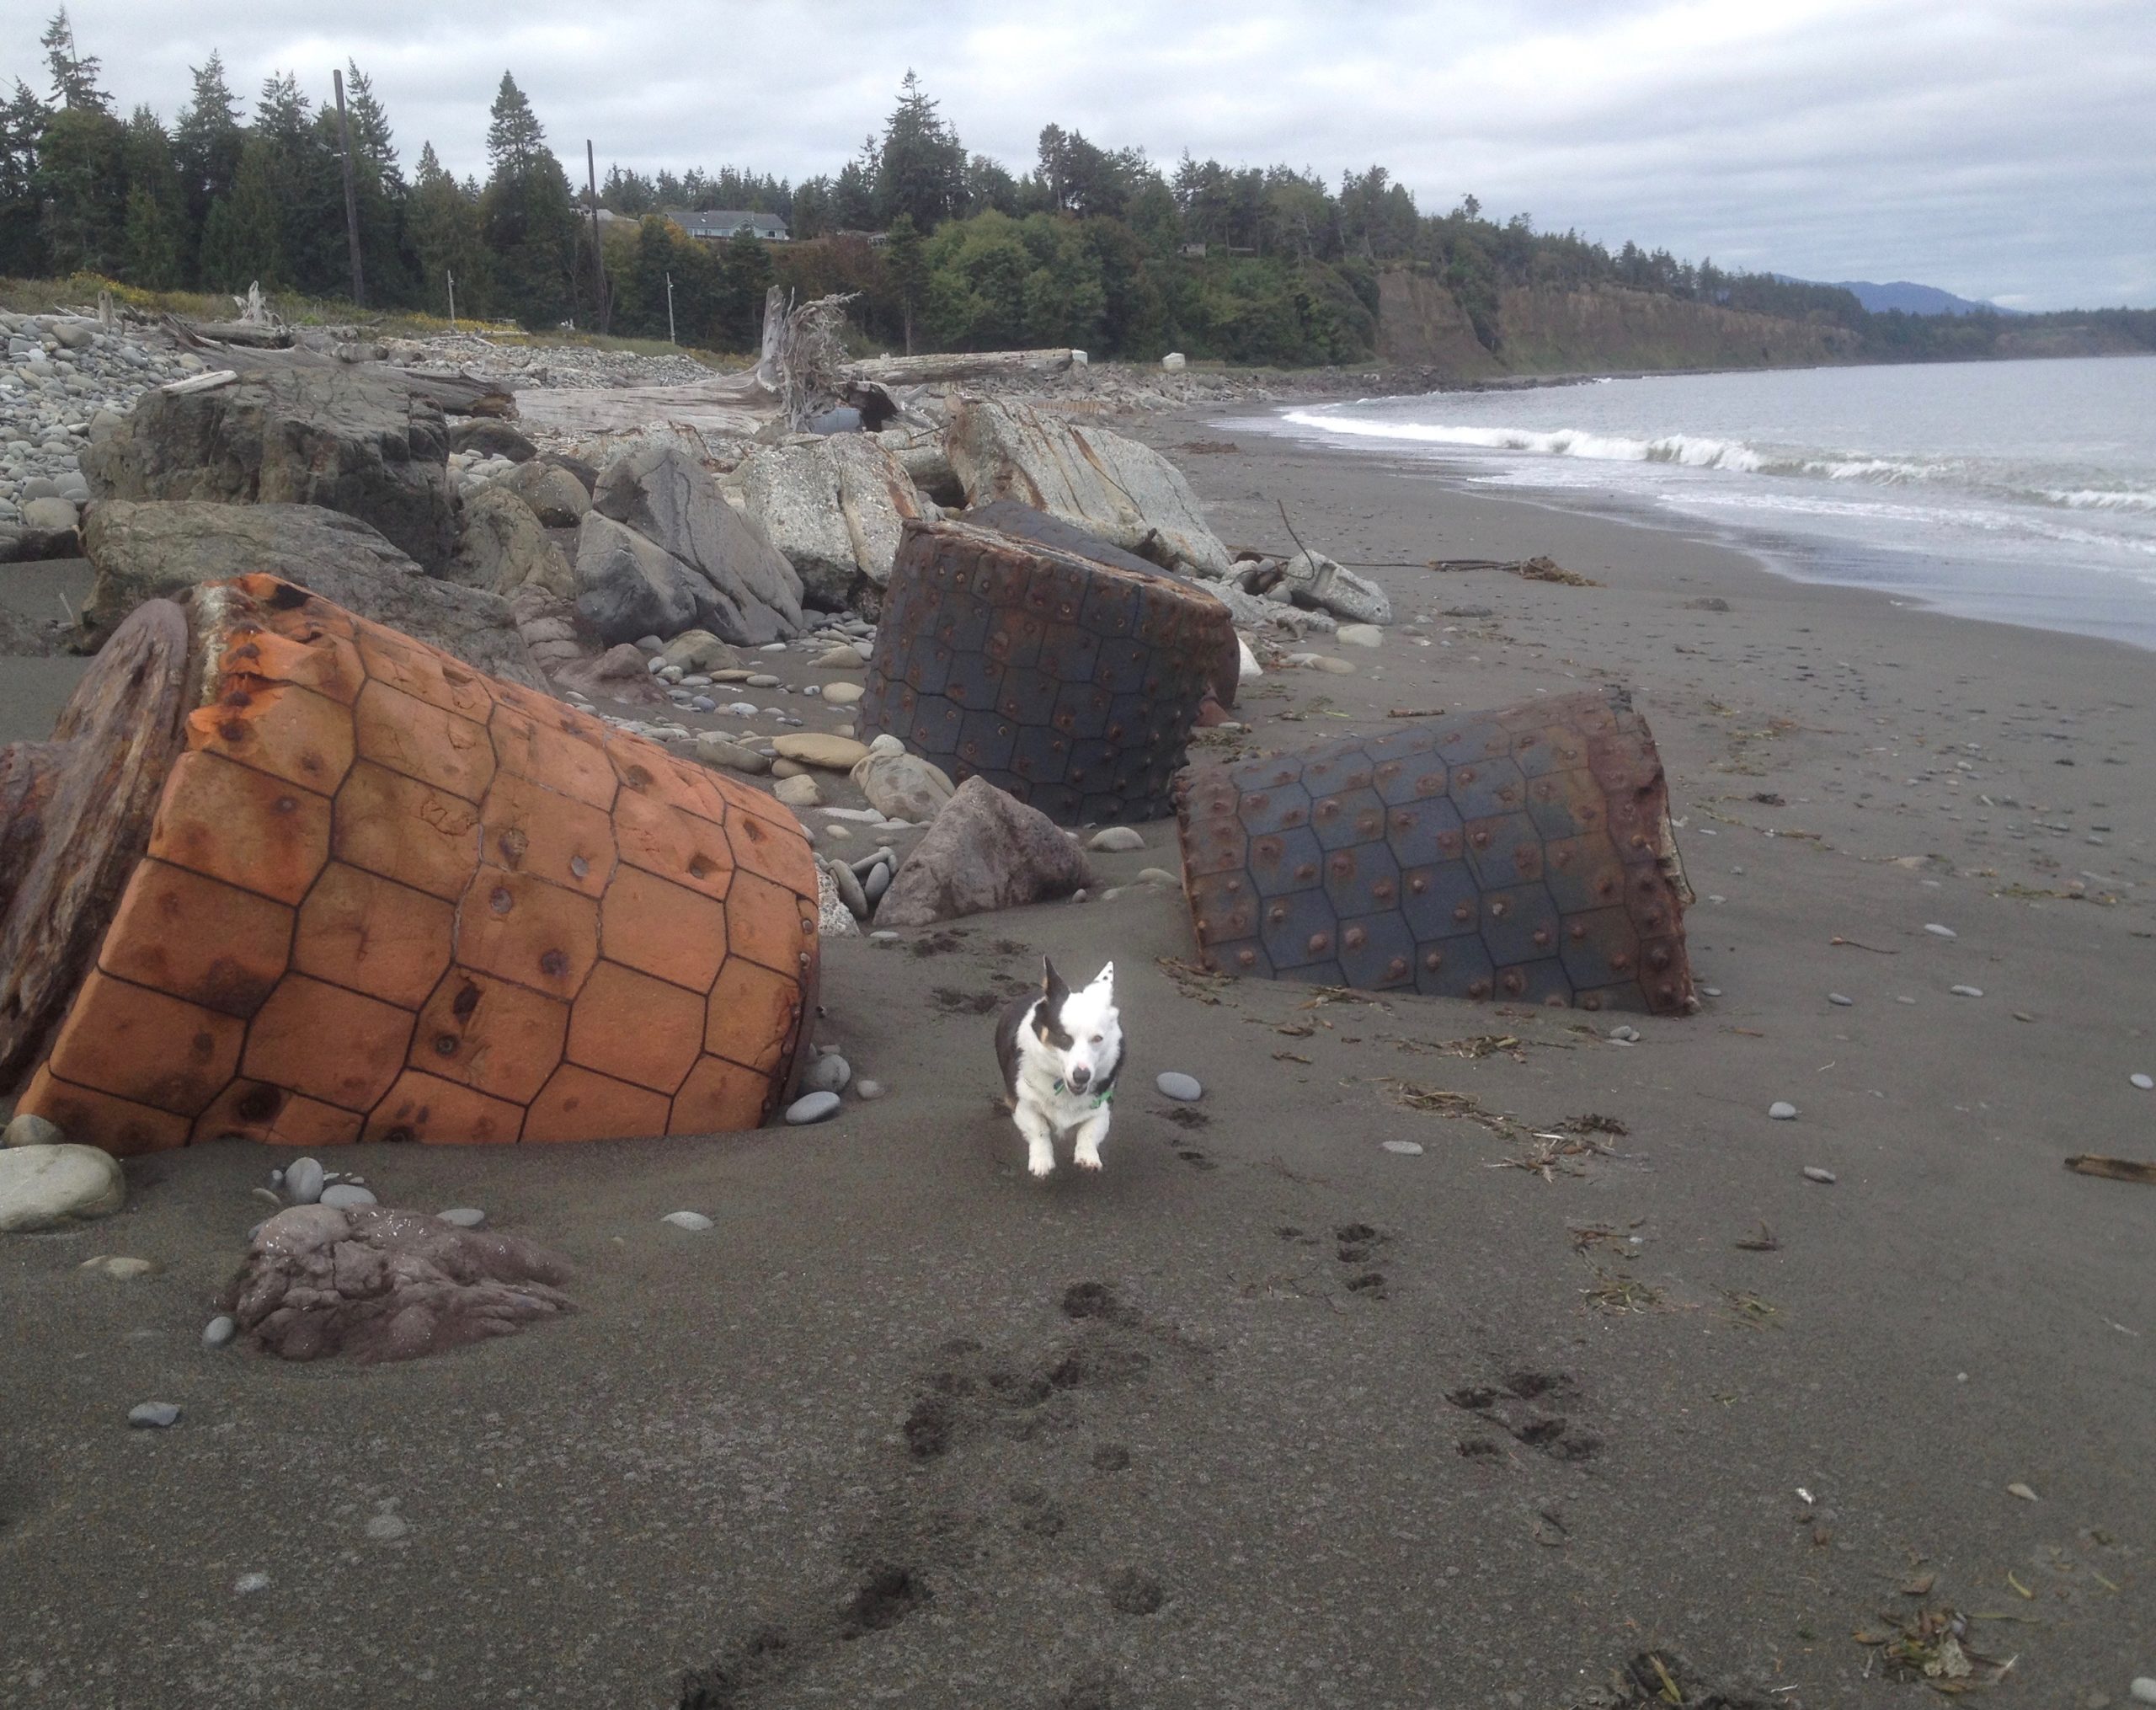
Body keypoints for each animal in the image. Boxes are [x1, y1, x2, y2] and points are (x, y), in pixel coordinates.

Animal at [995, 953, 1129, 1181]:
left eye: (1097, 1039)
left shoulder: (1102, 1109)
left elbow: (1089, 1131)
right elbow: (1040, 1129)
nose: (1082, 1076)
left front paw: (1088, 1158)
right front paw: (1042, 1162)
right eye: (1064, 1037)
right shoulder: (1024, 1105)